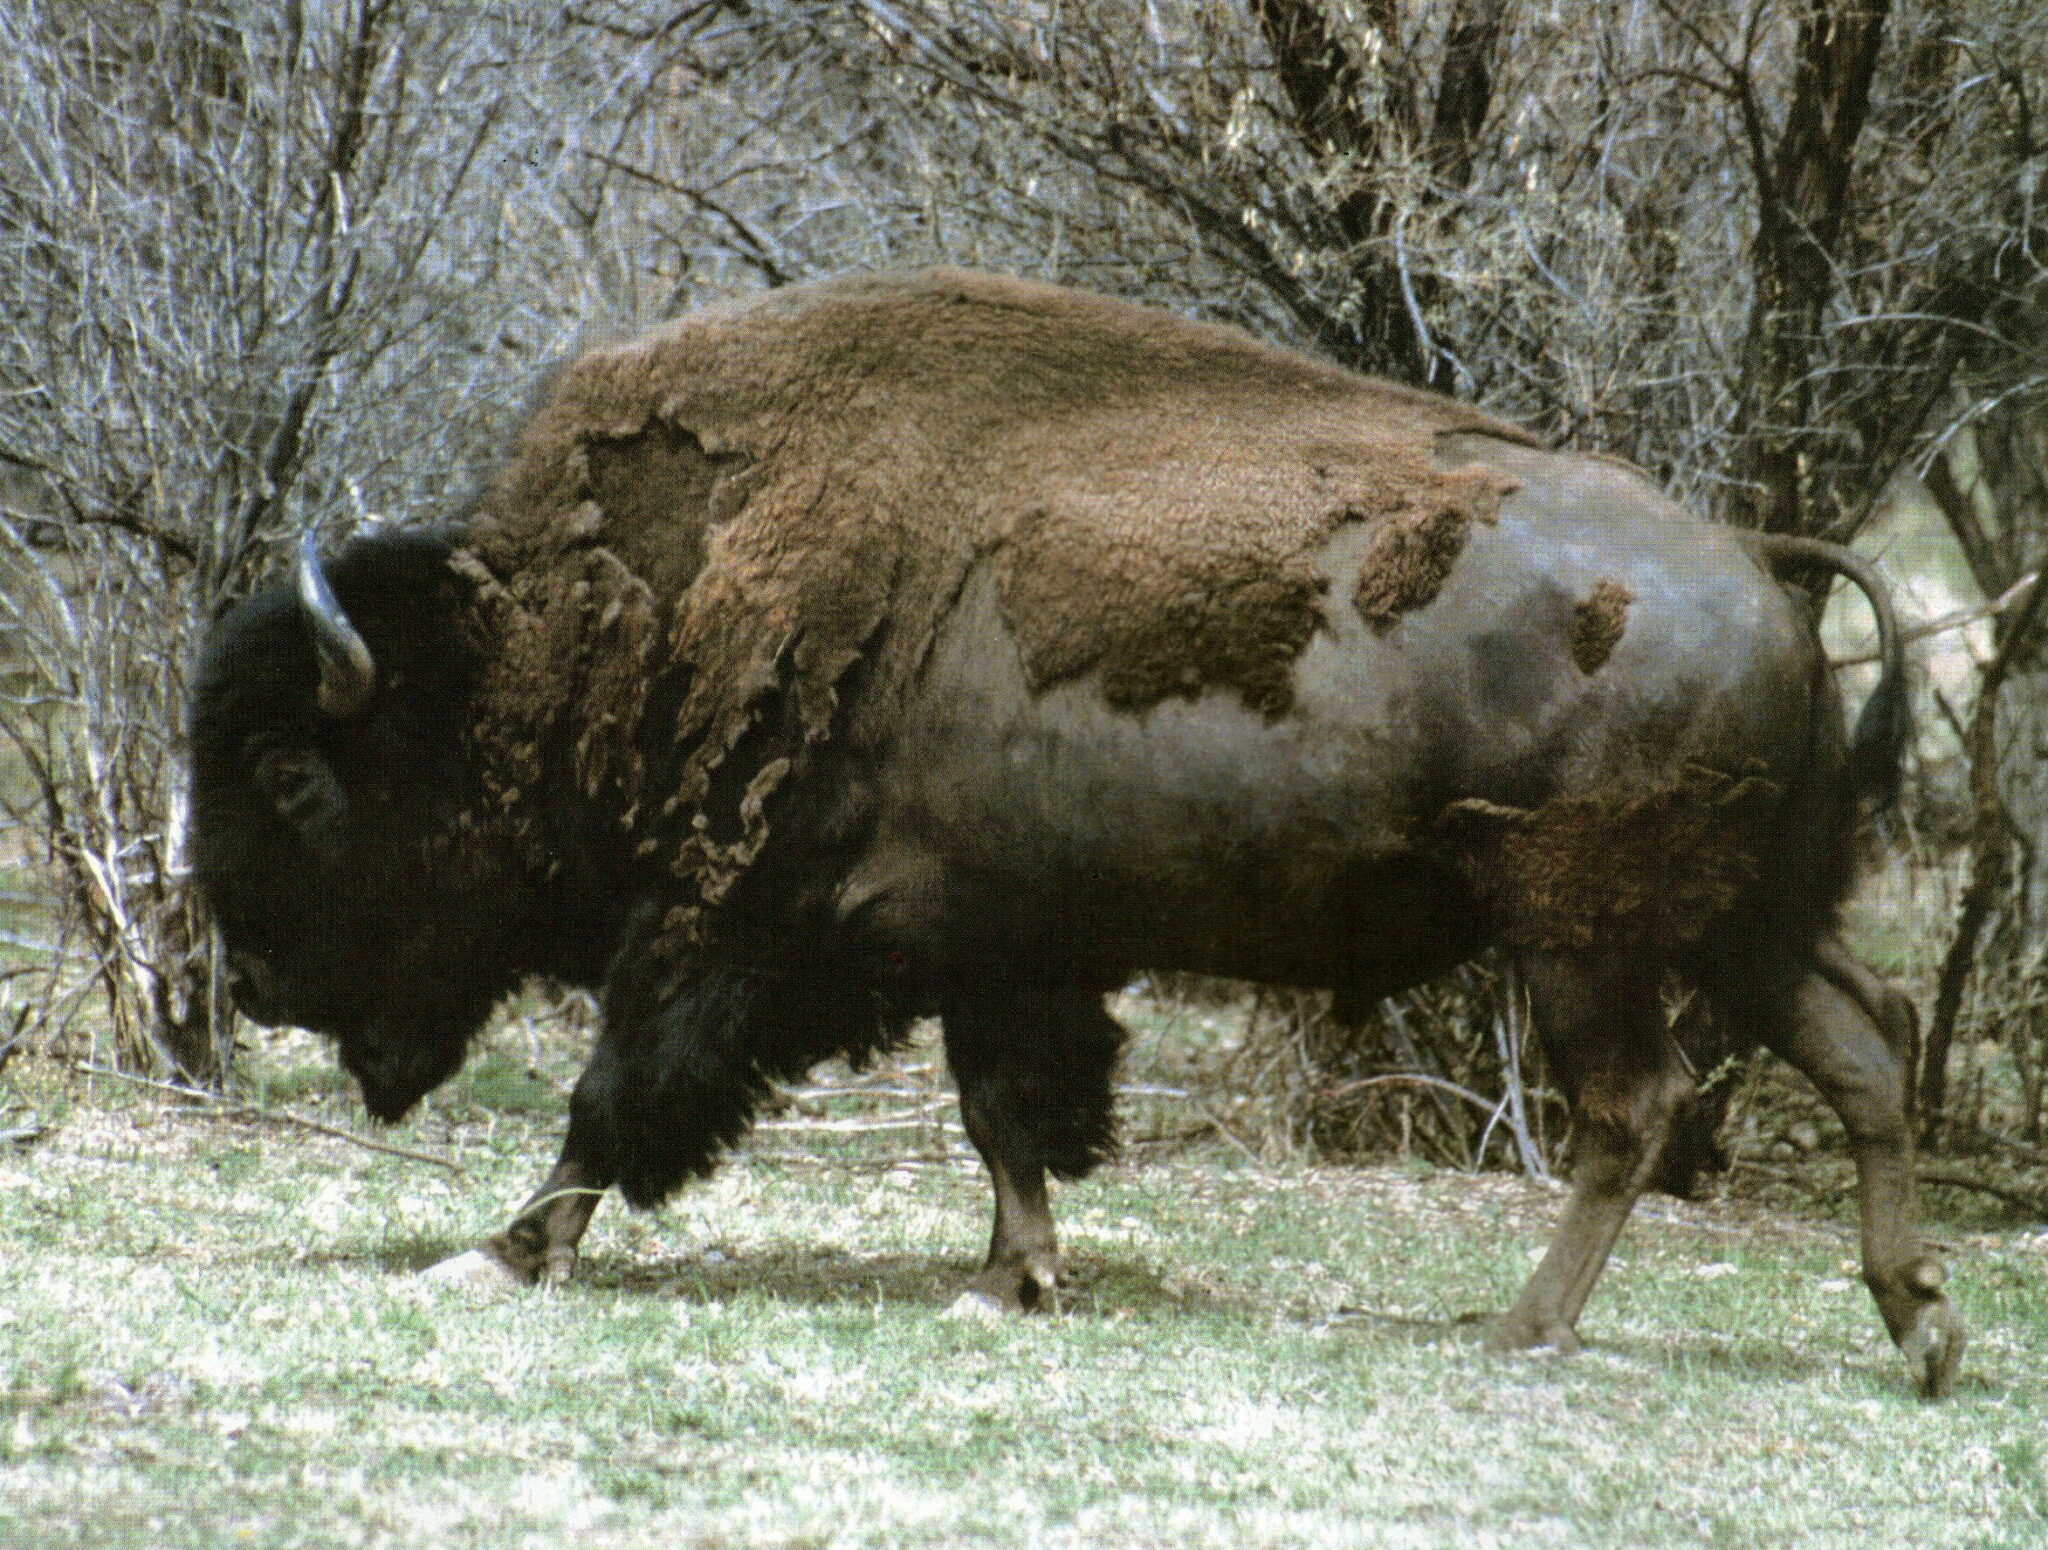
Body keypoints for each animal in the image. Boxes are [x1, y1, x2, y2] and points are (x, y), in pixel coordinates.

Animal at [191, 269, 1962, 1395]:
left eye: (288, 771)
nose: (254, 976)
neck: (593, 623)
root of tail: (1764, 567)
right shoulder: (994, 942)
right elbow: (1003, 1113)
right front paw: (1011, 1276)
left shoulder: (723, 929)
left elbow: (610, 1100)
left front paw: (496, 1250)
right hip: (1741, 923)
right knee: (1868, 1042)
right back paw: (1920, 1322)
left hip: (1584, 933)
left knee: (1634, 1104)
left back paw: (1521, 1329)